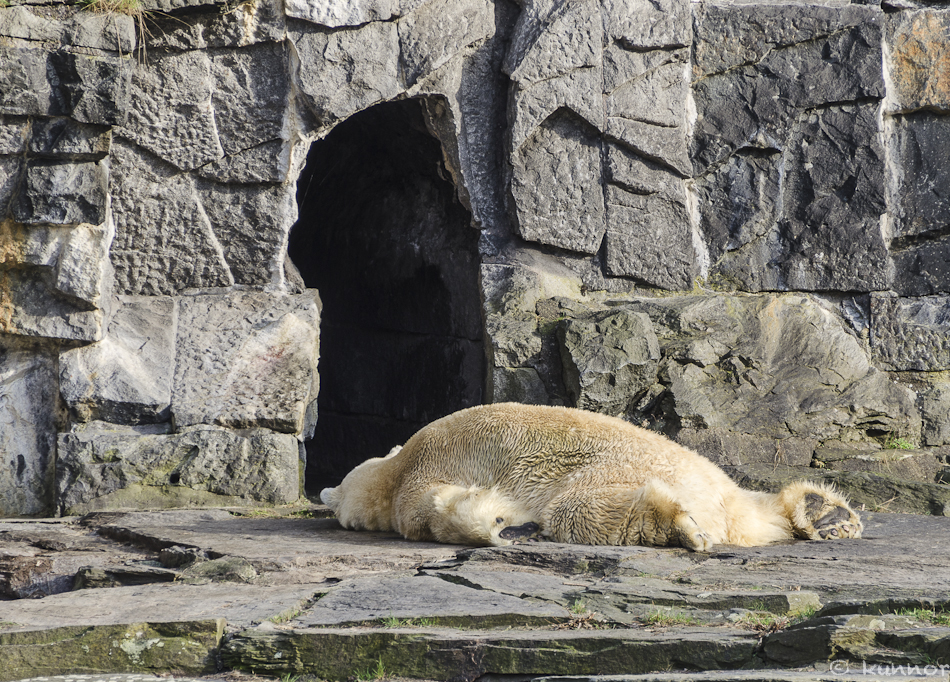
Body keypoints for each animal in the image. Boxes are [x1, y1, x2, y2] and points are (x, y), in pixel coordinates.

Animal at [320, 402, 864, 548]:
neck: (394, 468)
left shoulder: (419, 480)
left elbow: (440, 509)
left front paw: (501, 525)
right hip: (722, 487)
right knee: (759, 511)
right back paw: (826, 514)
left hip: (610, 471)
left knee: (579, 510)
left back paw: (680, 528)